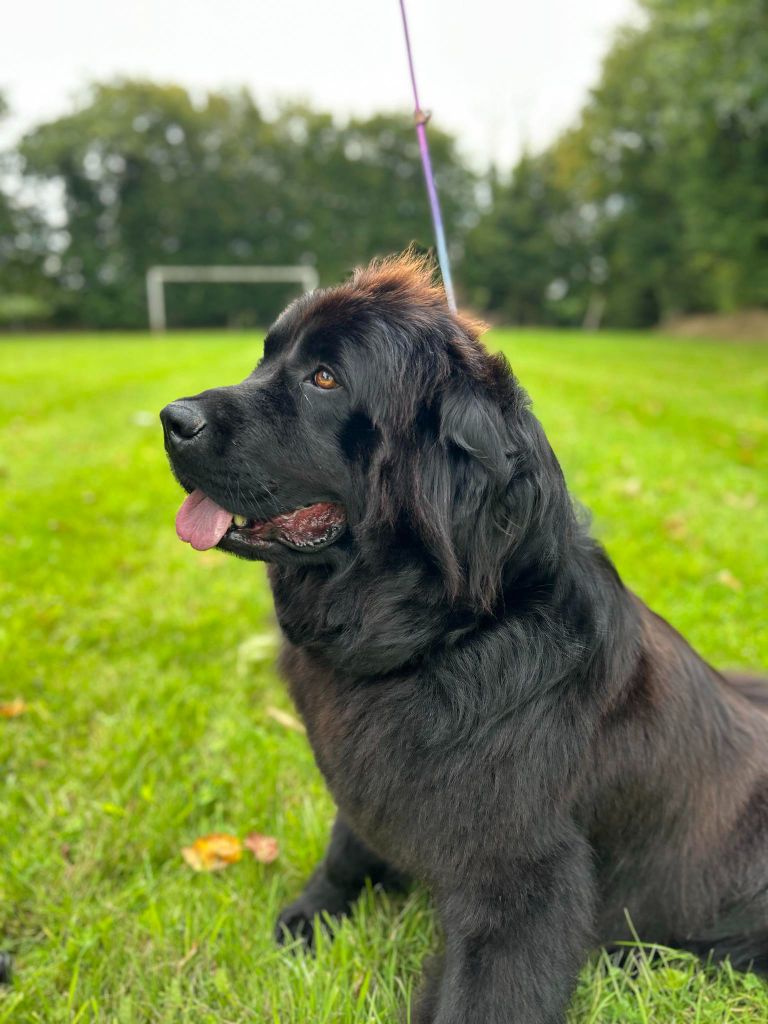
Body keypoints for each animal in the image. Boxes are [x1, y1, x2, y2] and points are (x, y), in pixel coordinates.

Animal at [162, 249, 768, 1024]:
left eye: (325, 378)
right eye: (266, 357)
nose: (171, 419)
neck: (446, 636)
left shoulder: (524, 883)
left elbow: (489, 991)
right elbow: (347, 843)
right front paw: (312, 914)